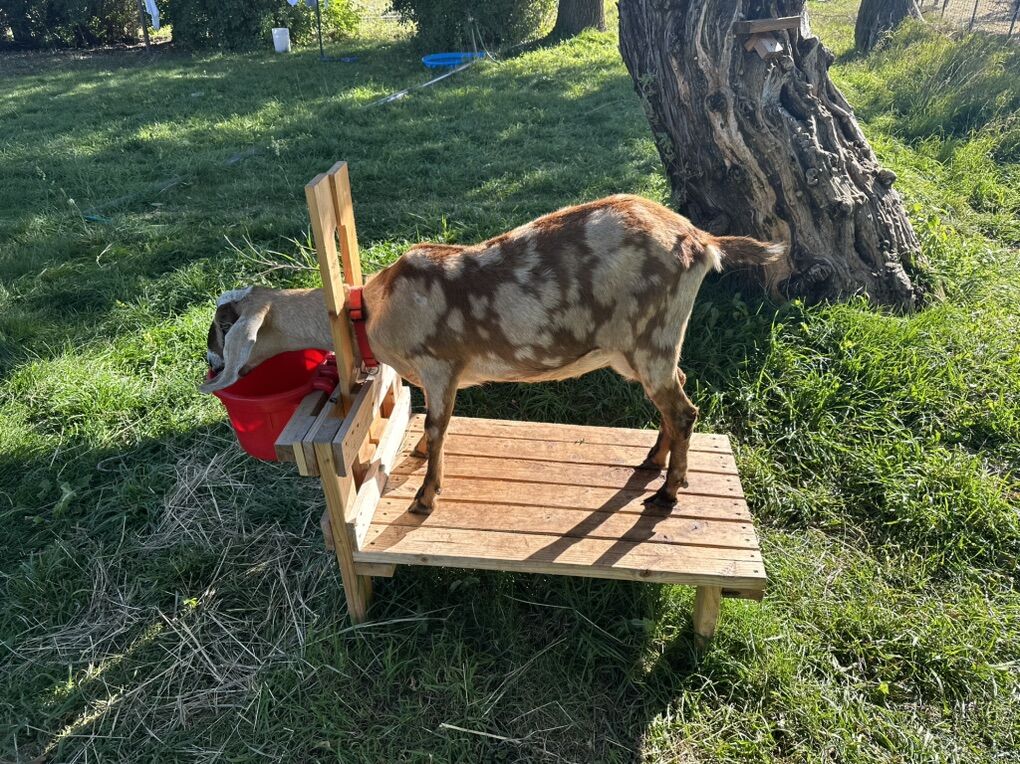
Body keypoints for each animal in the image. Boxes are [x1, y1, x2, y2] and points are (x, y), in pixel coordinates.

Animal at [202, 195, 784, 514]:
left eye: (222, 325)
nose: (207, 366)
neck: (374, 309)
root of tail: (701, 240)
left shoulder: (440, 366)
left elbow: (439, 427)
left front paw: (425, 496)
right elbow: (430, 425)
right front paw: (416, 458)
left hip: (652, 334)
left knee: (683, 410)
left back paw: (667, 494)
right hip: (641, 348)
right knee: (674, 398)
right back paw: (652, 462)